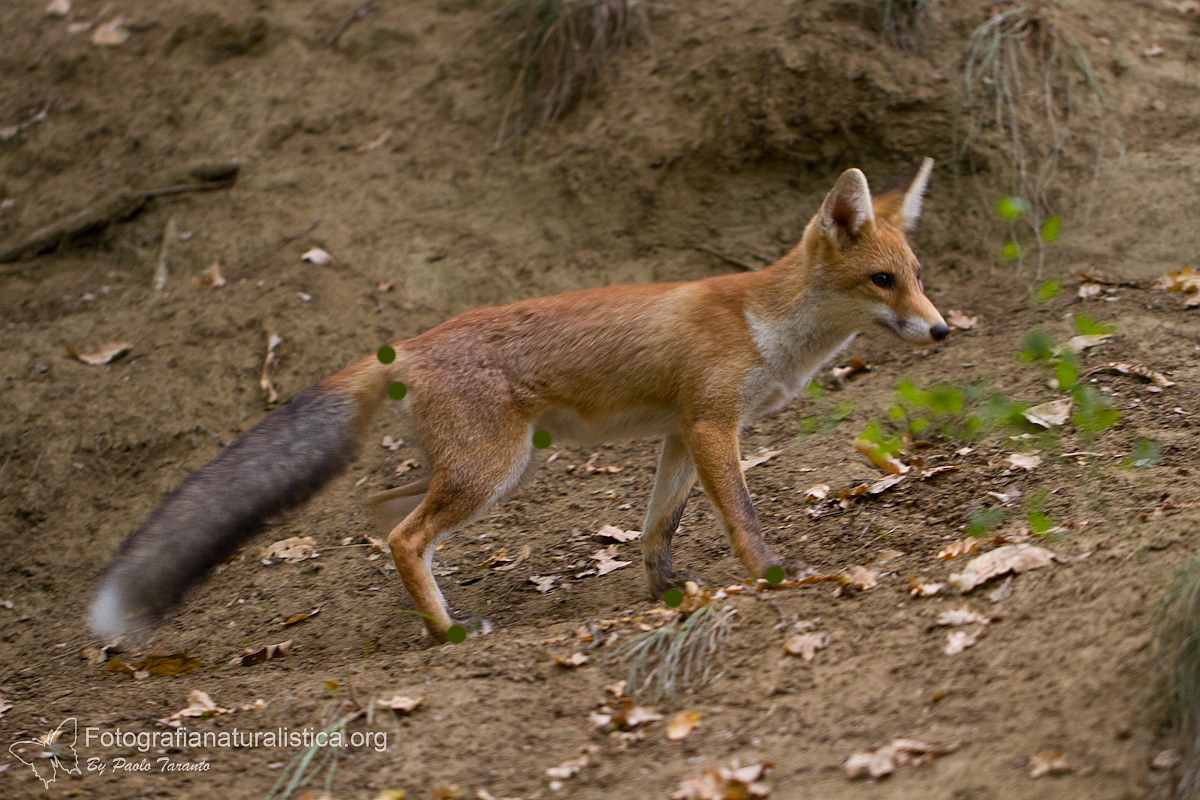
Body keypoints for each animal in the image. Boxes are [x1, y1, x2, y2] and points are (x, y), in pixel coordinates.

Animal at [87, 160, 945, 642]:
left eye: (917, 274)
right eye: (881, 280)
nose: (942, 330)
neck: (764, 327)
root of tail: (409, 344)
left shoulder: (680, 432)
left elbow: (657, 527)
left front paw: (665, 593)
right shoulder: (710, 425)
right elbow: (743, 519)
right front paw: (773, 575)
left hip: (494, 469)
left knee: (379, 513)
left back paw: (426, 614)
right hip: (492, 472)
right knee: (402, 534)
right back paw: (447, 632)